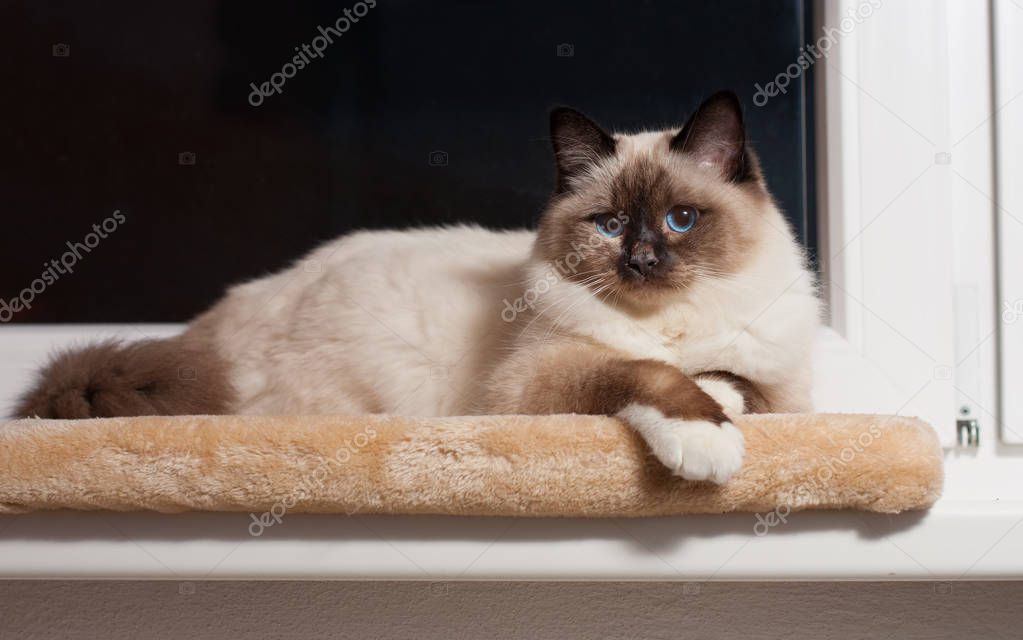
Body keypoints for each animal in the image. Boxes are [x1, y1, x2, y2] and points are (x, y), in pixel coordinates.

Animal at [14, 88, 814, 478]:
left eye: (681, 220)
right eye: (612, 225)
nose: (642, 261)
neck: (666, 321)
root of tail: (206, 328)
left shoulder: (784, 387)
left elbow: (732, 381)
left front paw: (718, 401)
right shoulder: (530, 387)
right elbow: (645, 373)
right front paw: (706, 442)